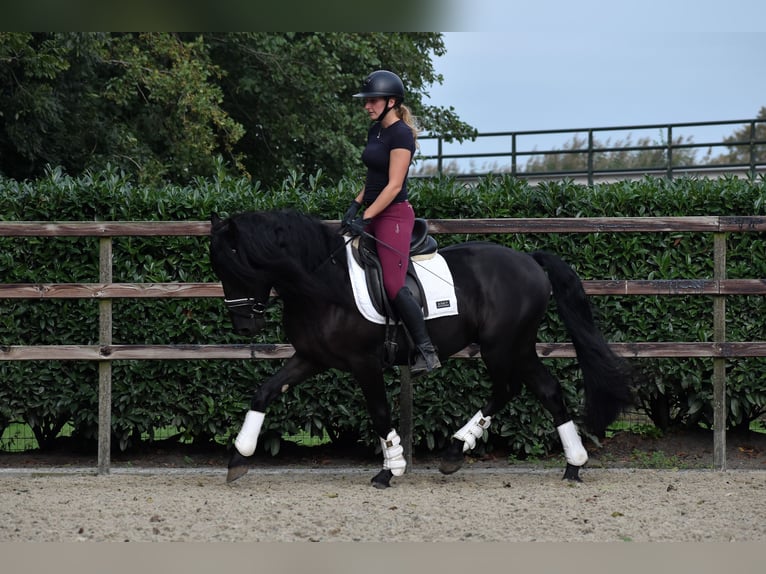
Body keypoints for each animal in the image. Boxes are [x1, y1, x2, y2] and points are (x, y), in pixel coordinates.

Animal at [210, 209, 636, 488]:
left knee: (507, 388)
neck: (323, 282)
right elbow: (264, 392)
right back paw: (573, 464)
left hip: (501, 346)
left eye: (236, 266)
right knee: (546, 391)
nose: (244, 325)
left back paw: (455, 450)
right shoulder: (310, 358)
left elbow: (380, 412)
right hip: (519, 346)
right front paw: (238, 456)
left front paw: (390, 468)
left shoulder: (364, 363)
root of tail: (529, 260)